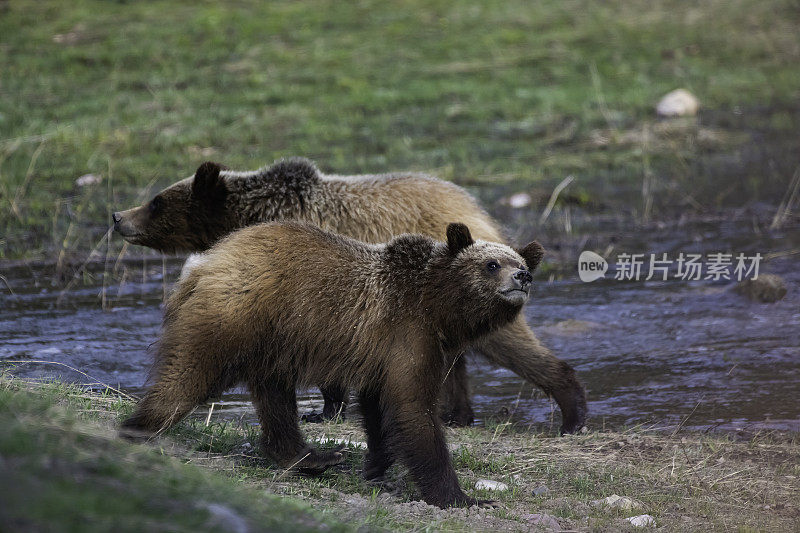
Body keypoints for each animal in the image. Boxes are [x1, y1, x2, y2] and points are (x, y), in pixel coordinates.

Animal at [114, 158, 588, 432]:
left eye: (156, 201)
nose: (119, 216)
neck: (250, 215)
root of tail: (475, 208)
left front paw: (325, 407)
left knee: (507, 341)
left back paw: (571, 411)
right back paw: (457, 414)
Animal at [122, 221, 548, 508]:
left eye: (518, 260)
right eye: (491, 264)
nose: (523, 275)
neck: (439, 308)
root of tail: (202, 262)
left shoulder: (388, 351)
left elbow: (379, 407)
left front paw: (375, 465)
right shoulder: (408, 332)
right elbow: (413, 408)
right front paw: (461, 497)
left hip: (272, 341)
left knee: (275, 399)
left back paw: (311, 457)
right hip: (237, 317)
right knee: (189, 375)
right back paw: (138, 427)